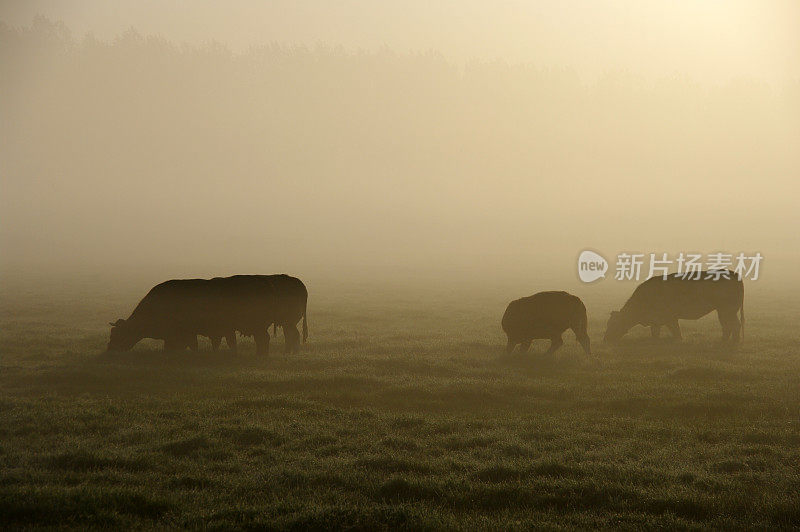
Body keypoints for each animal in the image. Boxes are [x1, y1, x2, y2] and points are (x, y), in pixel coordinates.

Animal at [608, 272, 744, 342]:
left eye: (614, 324)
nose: (606, 339)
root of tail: (733, 273)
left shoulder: (670, 318)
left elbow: (675, 331)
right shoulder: (656, 321)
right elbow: (655, 333)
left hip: (727, 311)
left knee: (733, 325)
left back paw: (731, 342)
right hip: (724, 311)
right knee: (728, 326)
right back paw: (725, 341)